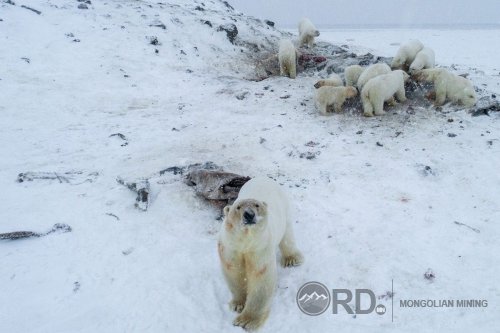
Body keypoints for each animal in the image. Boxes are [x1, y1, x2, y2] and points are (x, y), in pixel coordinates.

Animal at [217, 176, 302, 330]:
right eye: (238, 207)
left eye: (256, 205)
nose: (249, 214)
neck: (246, 241)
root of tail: (263, 177)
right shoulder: (230, 247)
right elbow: (234, 271)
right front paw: (238, 305)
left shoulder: (260, 248)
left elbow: (260, 278)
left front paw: (246, 321)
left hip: (284, 209)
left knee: (287, 234)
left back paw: (292, 259)